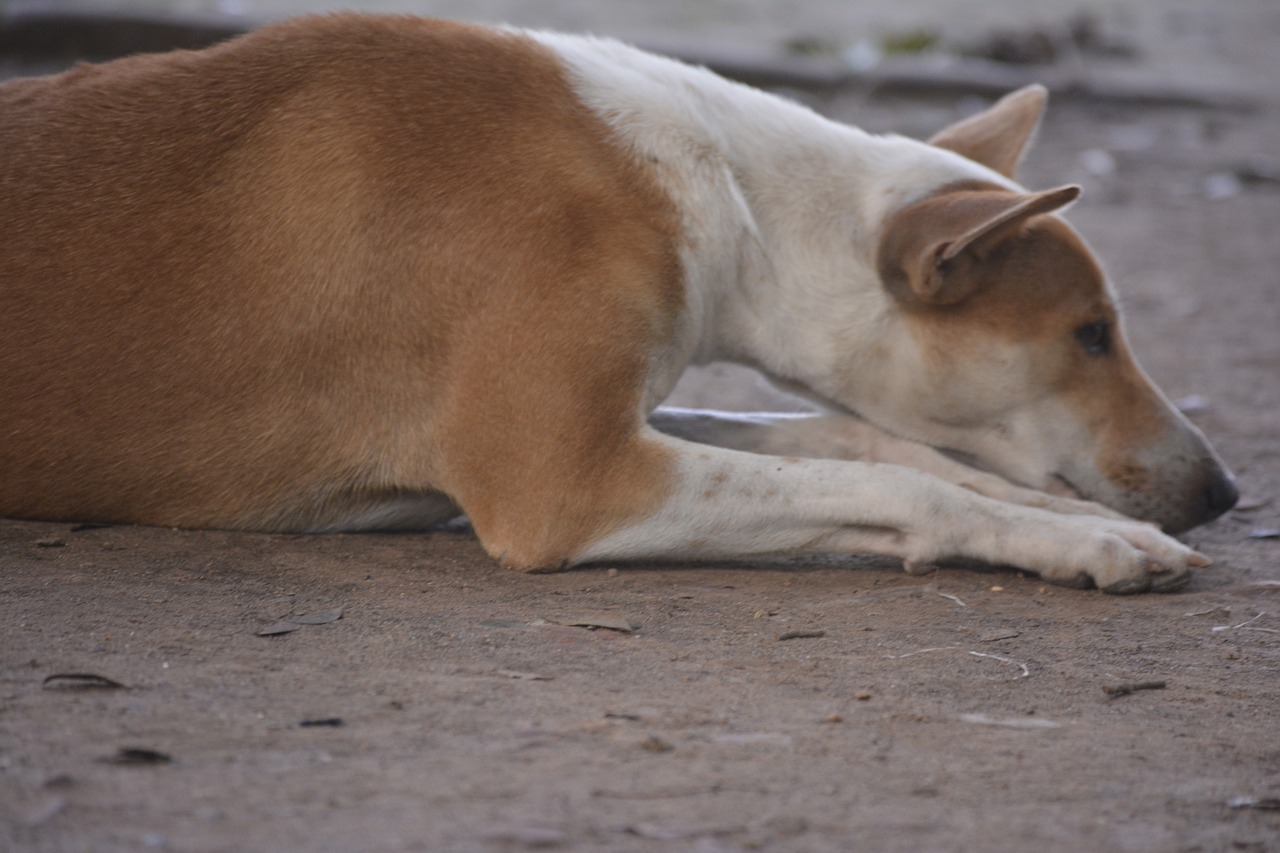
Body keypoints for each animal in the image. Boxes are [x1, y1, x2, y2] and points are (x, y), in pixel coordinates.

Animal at [2, 16, 1239, 594]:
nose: (1223, 490)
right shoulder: (569, 483)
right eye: (1090, 334)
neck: (729, 195)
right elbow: (893, 476)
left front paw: (1066, 518)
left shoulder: (622, 421)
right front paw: (1080, 542)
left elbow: (854, 439)